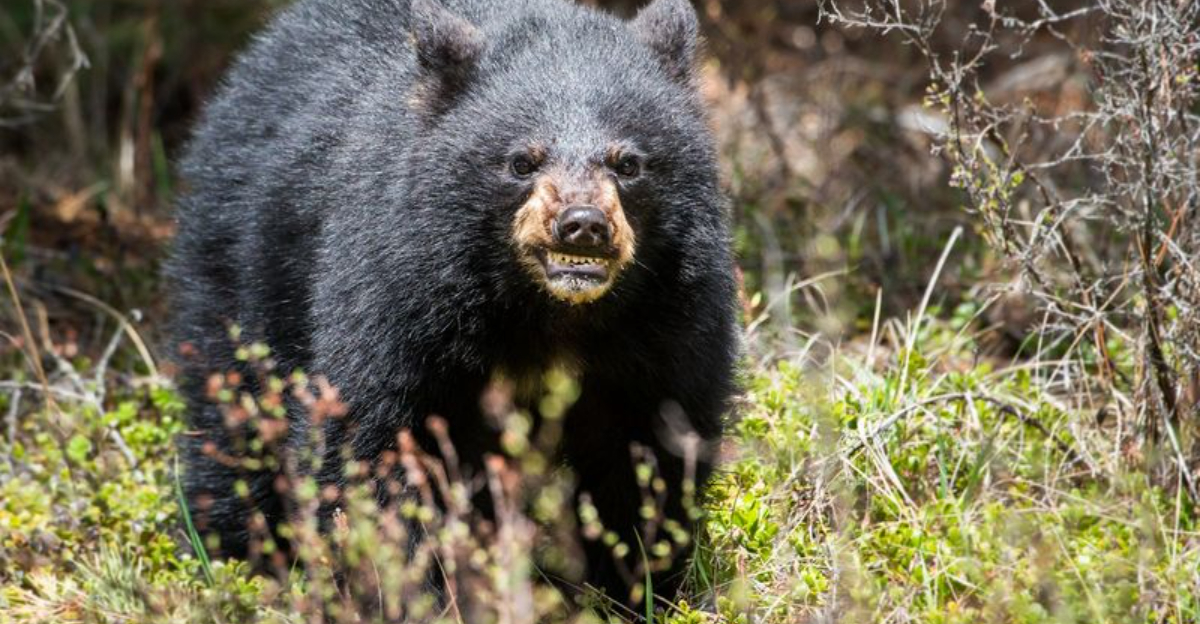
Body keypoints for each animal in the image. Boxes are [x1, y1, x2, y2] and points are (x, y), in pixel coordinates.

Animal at [166, 0, 729, 609]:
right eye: (522, 161)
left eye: (627, 163)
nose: (582, 225)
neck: (551, 315)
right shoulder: (397, 294)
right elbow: (380, 442)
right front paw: (409, 590)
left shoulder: (669, 319)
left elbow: (650, 451)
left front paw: (632, 589)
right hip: (240, 268)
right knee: (230, 421)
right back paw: (233, 558)